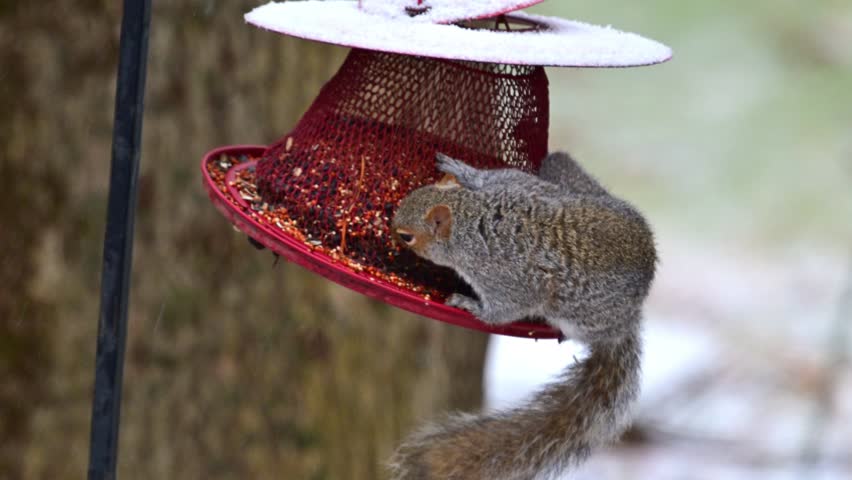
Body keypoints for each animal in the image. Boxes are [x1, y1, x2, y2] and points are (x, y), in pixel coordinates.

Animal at [388, 152, 656, 480]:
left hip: (583, 317)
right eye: (413, 194)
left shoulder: (503, 277)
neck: (472, 221)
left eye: (407, 236)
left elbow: (502, 310)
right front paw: (464, 171)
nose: (389, 228)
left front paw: (469, 305)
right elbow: (508, 177)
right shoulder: (516, 188)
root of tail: (630, 317)